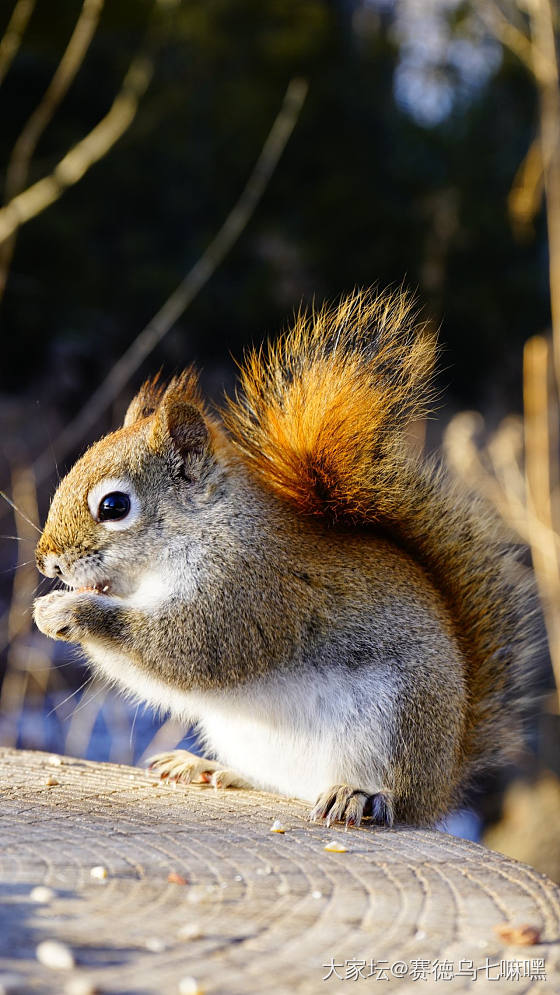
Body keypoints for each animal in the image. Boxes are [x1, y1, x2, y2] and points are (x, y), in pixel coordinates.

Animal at [31, 286, 540, 824]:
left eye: (114, 506)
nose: (48, 563)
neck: (204, 531)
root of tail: (443, 785)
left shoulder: (249, 592)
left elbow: (184, 652)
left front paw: (68, 610)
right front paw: (50, 610)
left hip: (397, 725)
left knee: (396, 799)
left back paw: (360, 795)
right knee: (275, 783)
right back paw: (206, 767)